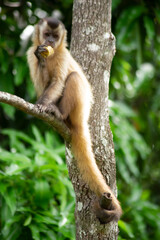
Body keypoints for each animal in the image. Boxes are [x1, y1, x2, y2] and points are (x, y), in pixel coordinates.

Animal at [26, 16, 122, 223]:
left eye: (55, 37)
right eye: (47, 34)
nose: (50, 41)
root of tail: (83, 120)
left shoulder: (63, 55)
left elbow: (57, 82)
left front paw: (43, 105)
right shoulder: (30, 53)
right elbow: (41, 84)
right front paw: (41, 58)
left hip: (78, 112)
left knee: (74, 77)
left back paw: (59, 113)